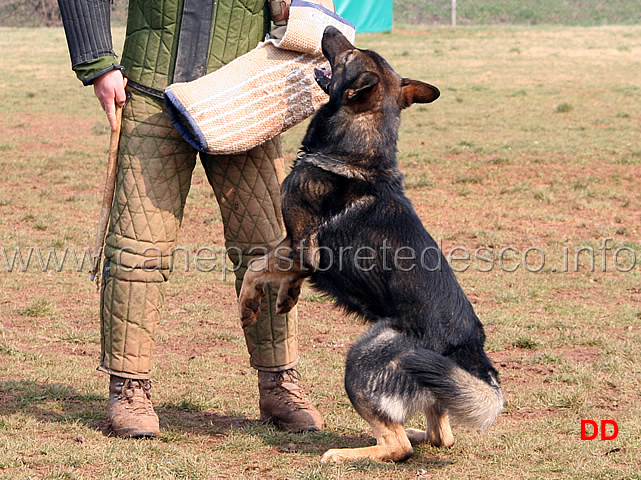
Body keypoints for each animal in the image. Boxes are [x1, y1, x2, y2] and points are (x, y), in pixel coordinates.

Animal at [238, 25, 502, 462]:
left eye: (349, 54)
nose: (330, 28)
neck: (357, 151)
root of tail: (468, 347)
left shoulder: (300, 247)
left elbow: (256, 268)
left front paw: (249, 306)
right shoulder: (297, 248)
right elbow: (277, 272)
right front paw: (286, 299)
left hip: (362, 358)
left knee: (396, 446)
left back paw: (345, 454)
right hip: (434, 387)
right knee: (439, 436)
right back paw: (414, 431)